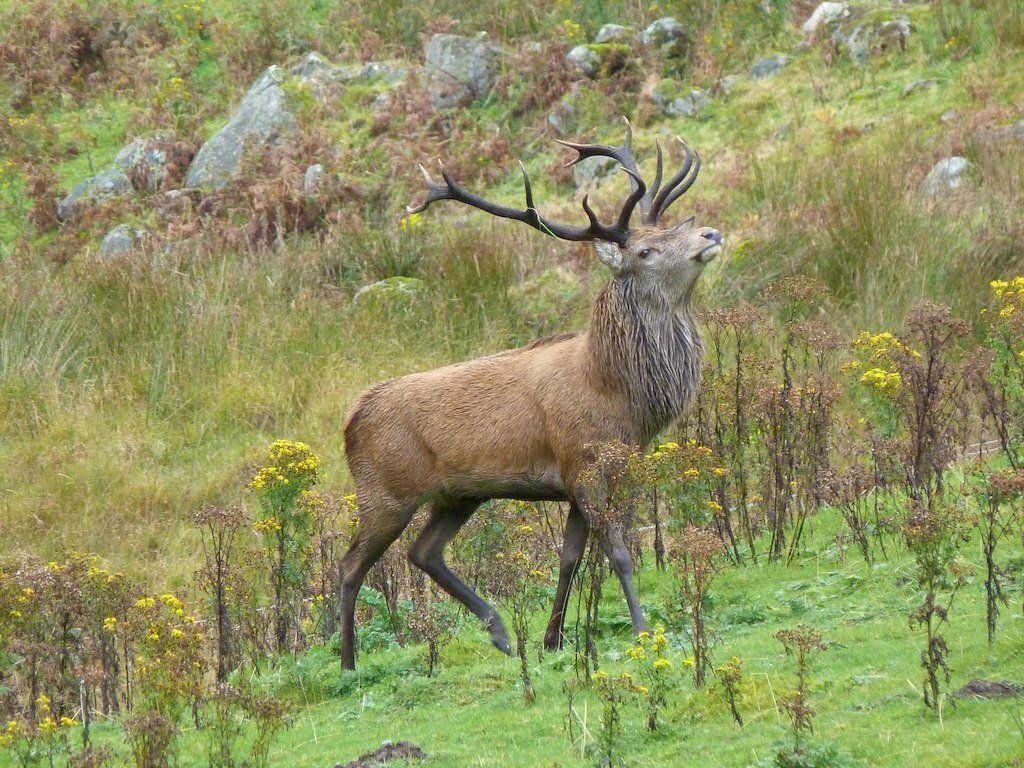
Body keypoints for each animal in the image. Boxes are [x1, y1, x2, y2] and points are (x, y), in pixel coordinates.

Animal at [339, 121, 722, 670]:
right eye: (645, 250)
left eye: (672, 230)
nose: (710, 234)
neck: (618, 397)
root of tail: (351, 417)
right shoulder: (583, 464)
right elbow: (620, 555)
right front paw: (643, 629)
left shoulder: (585, 479)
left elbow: (569, 559)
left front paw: (552, 638)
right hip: (383, 491)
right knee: (350, 566)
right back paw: (347, 664)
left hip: (458, 493)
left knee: (422, 553)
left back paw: (500, 632)